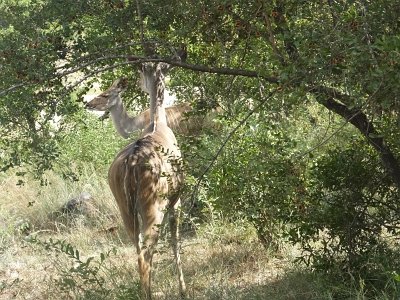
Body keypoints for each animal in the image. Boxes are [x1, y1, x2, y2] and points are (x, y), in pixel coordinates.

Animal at [107, 62, 187, 298]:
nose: (134, 82)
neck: (157, 123)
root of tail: (132, 162)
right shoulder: (177, 198)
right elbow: (175, 241)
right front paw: (183, 290)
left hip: (126, 209)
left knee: (138, 250)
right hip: (153, 205)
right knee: (145, 255)